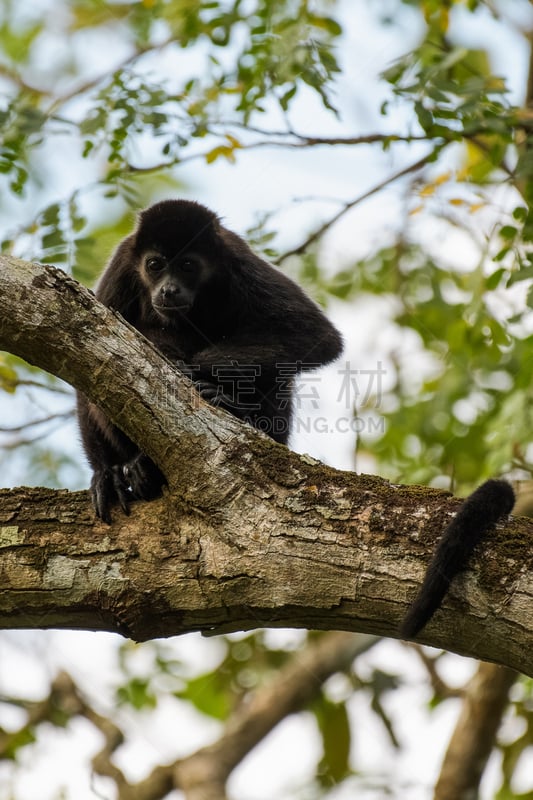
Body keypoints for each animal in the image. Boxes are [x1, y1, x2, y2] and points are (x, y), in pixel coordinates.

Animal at [77, 199, 342, 520]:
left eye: (187, 266)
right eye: (155, 265)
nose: (169, 289)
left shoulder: (239, 260)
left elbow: (317, 334)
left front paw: (192, 372)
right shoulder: (123, 263)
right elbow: (89, 358)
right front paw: (107, 473)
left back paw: (233, 408)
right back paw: (139, 467)